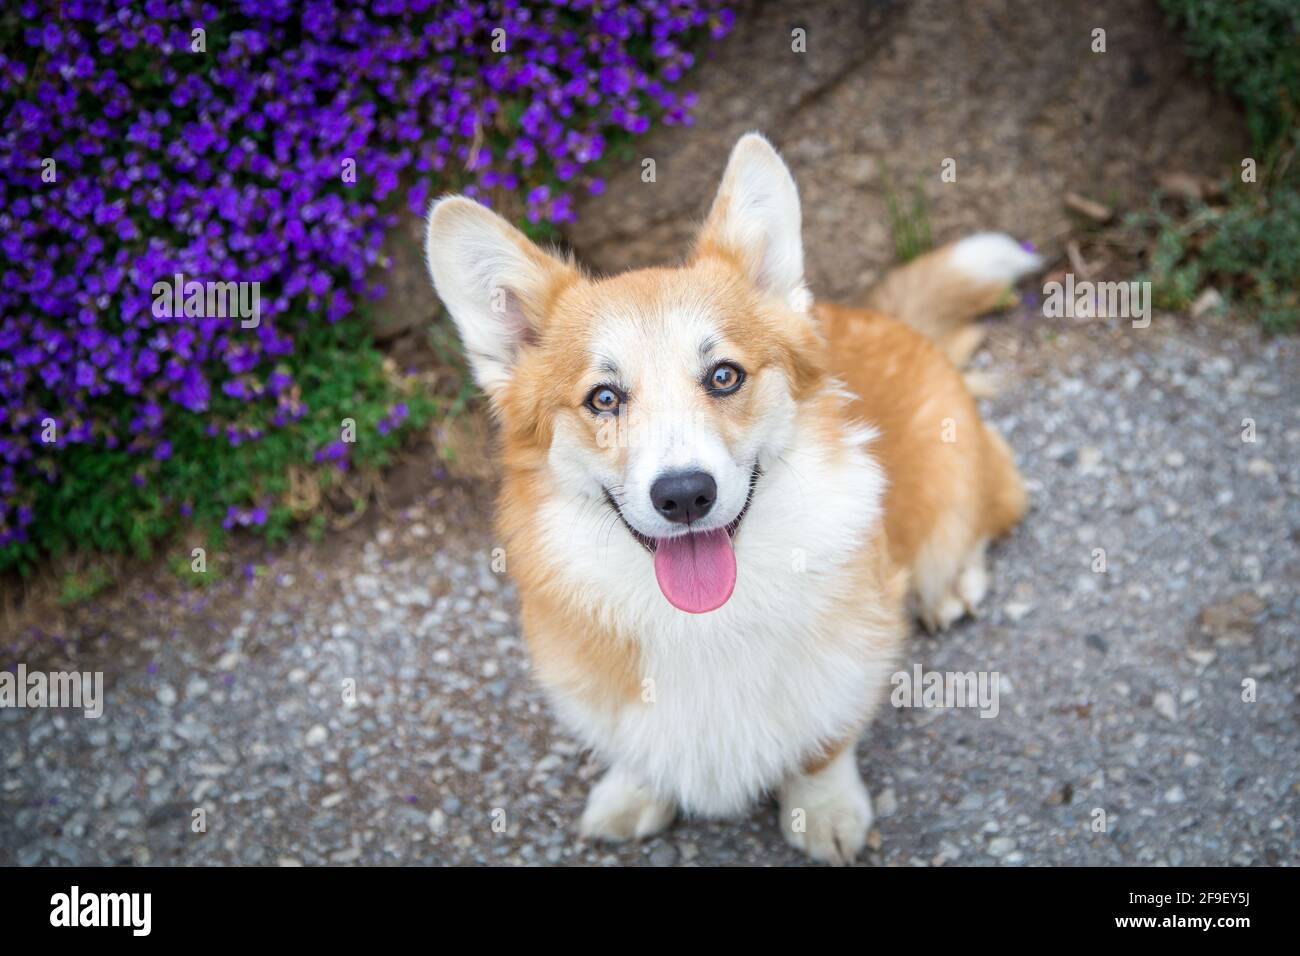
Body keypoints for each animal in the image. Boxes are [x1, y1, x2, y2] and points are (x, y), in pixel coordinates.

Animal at [423, 132, 1034, 858]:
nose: (685, 495)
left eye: (723, 376)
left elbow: (824, 745)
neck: (704, 621)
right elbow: (637, 749)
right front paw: (636, 793)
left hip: (955, 486)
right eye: (604, 398)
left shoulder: (853, 653)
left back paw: (955, 583)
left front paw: (824, 811)